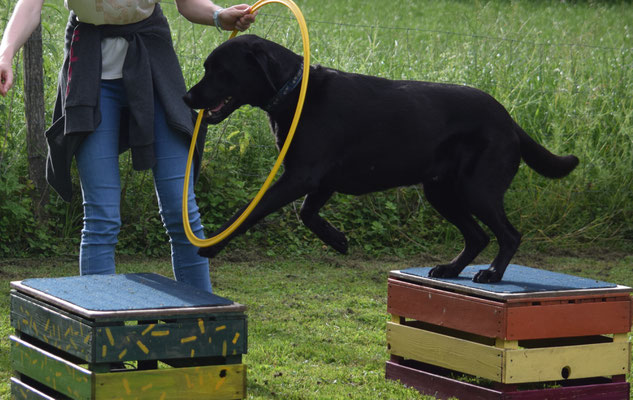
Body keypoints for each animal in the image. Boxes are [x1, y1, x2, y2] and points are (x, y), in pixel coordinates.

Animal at [183, 35, 576, 284]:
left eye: (219, 70)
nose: (187, 97)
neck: (294, 91)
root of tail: (508, 118)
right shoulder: (320, 180)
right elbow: (307, 213)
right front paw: (338, 240)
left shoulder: (302, 176)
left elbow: (250, 212)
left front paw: (213, 244)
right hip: (441, 191)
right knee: (477, 236)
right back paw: (450, 270)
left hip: (476, 188)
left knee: (509, 234)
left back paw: (492, 273)